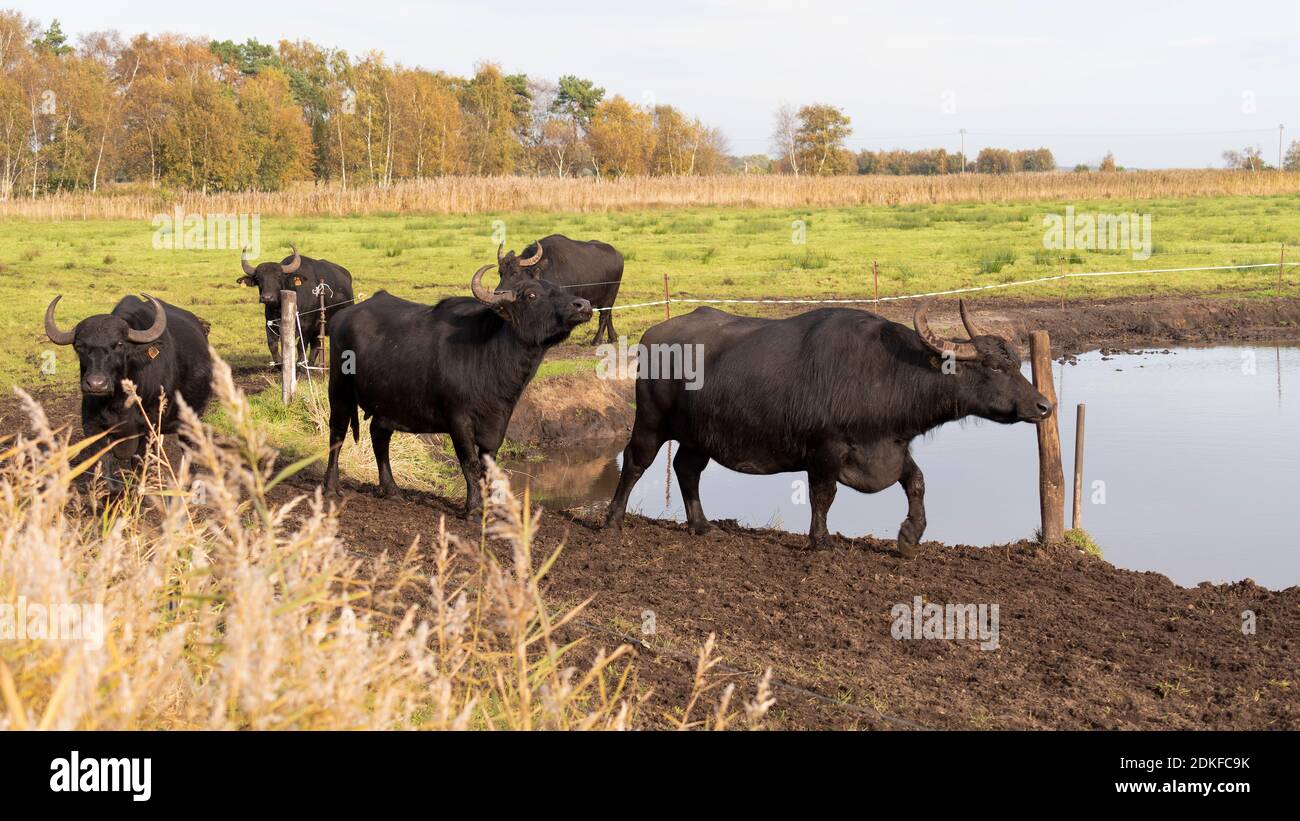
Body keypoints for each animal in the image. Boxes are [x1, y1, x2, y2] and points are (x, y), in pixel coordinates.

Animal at [43, 293, 211, 462]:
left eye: (119, 344)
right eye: (79, 346)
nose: (97, 384)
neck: (118, 404)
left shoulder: (148, 428)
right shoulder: (93, 428)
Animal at [322, 259, 592, 517]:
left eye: (556, 287)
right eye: (531, 295)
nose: (584, 305)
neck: (490, 357)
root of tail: (340, 318)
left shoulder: (498, 420)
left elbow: (488, 466)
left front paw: (488, 508)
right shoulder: (459, 419)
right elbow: (469, 463)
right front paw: (472, 508)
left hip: (388, 403)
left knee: (379, 436)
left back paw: (391, 490)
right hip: (339, 389)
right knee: (337, 434)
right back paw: (331, 487)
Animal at [493, 233, 621, 342]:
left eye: (515, 272)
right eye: (500, 272)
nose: (498, 293)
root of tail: (617, 254)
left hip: (611, 294)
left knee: (604, 315)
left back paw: (596, 340)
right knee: (609, 314)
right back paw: (613, 338)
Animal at [605, 301, 1055, 558]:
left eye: (1016, 363)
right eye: (994, 367)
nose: (1044, 406)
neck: (885, 375)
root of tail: (653, 336)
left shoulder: (891, 449)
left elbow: (917, 481)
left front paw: (910, 536)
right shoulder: (825, 449)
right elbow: (823, 495)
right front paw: (820, 541)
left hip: (699, 436)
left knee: (686, 469)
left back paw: (700, 525)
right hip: (651, 421)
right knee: (635, 461)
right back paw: (612, 519)